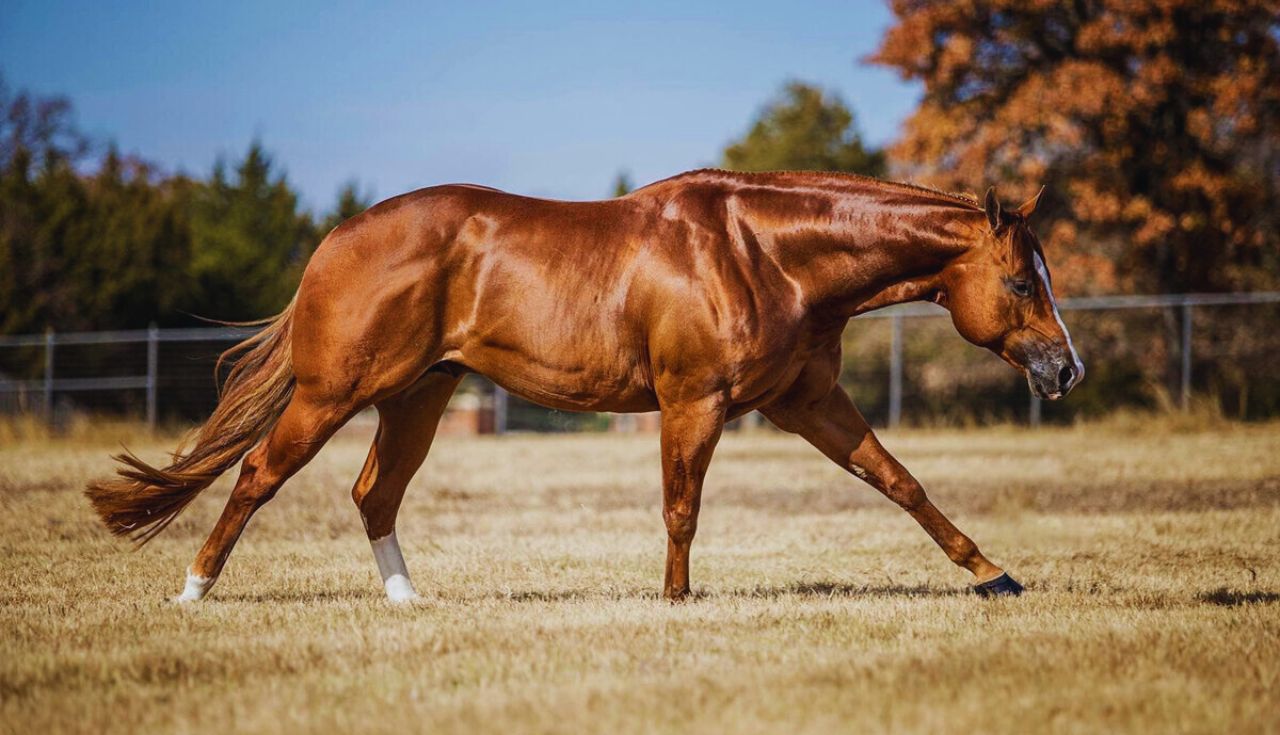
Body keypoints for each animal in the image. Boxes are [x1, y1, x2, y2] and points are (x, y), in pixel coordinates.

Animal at [85, 171, 1080, 604]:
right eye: (1021, 280)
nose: (1064, 368)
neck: (760, 252)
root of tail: (334, 242)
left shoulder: (804, 402)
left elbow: (900, 481)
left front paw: (993, 575)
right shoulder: (694, 403)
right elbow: (681, 508)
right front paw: (676, 602)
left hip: (419, 397)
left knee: (374, 493)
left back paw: (406, 601)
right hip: (332, 395)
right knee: (257, 475)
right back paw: (192, 591)